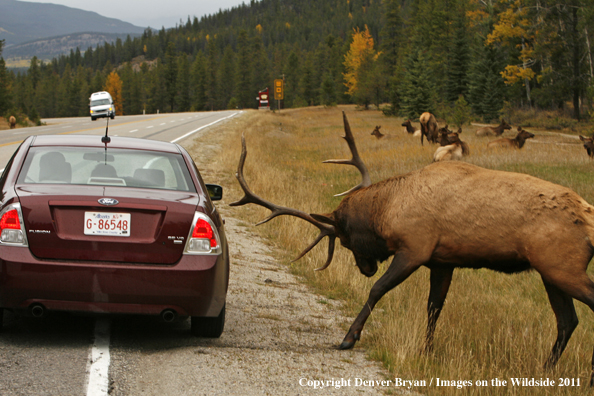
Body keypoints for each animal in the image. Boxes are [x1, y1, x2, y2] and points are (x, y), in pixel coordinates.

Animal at [230, 111, 594, 386]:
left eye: (345, 239)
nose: (366, 268)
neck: (388, 210)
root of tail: (588, 218)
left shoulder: (414, 249)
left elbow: (378, 291)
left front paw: (349, 337)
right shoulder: (443, 261)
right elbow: (433, 308)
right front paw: (426, 351)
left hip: (563, 266)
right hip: (550, 272)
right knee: (567, 320)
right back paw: (545, 371)